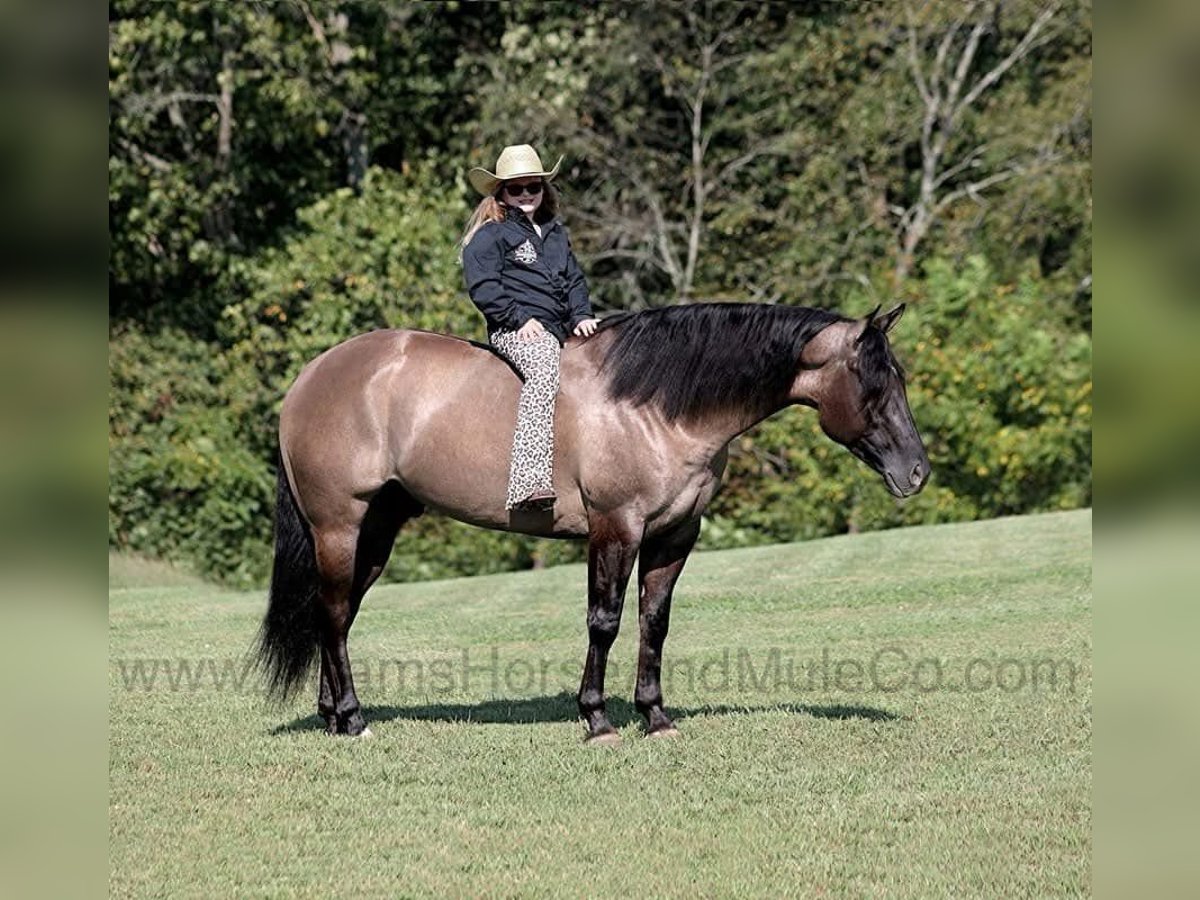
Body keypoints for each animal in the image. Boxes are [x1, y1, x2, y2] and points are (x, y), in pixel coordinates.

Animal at [255, 300, 926, 744]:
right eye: (873, 384)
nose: (917, 471)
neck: (654, 405)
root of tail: (308, 380)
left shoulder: (674, 536)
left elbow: (654, 624)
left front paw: (655, 716)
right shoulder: (615, 528)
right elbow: (603, 622)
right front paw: (597, 718)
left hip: (376, 530)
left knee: (334, 616)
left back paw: (333, 716)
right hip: (339, 527)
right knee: (333, 615)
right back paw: (354, 720)